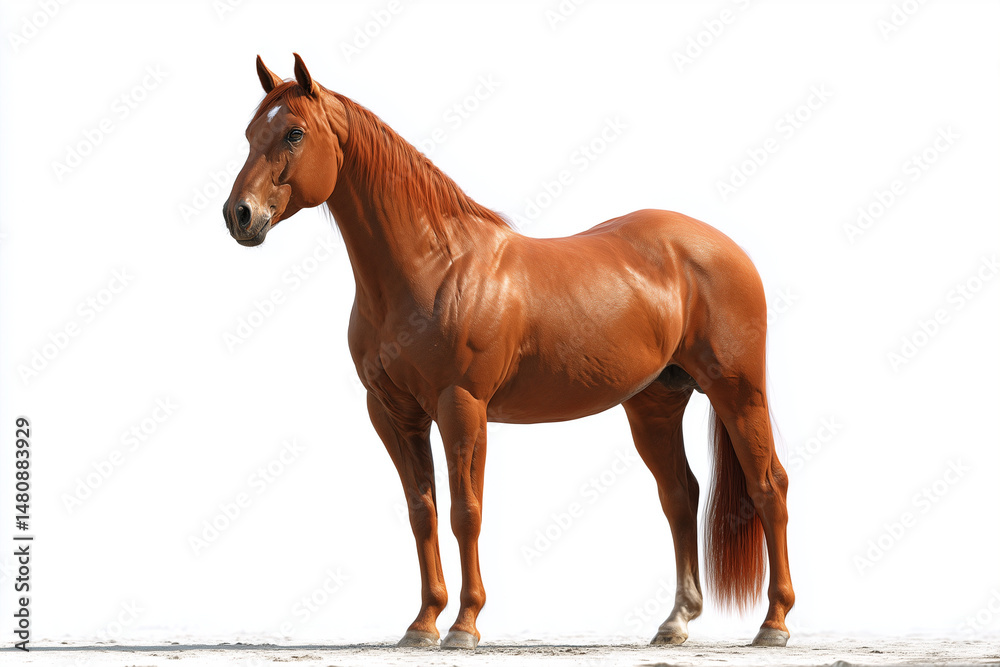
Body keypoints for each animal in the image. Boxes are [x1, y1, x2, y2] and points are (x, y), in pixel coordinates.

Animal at [223, 54, 795, 650]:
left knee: (768, 487)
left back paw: (773, 623)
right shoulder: (393, 413)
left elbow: (465, 512)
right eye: (249, 133)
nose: (239, 215)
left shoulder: (462, 405)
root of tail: (723, 247)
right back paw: (676, 620)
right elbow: (422, 512)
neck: (434, 266)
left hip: (738, 392)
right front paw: (422, 623)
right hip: (654, 405)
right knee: (680, 495)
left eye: (294, 133)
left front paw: (464, 625)